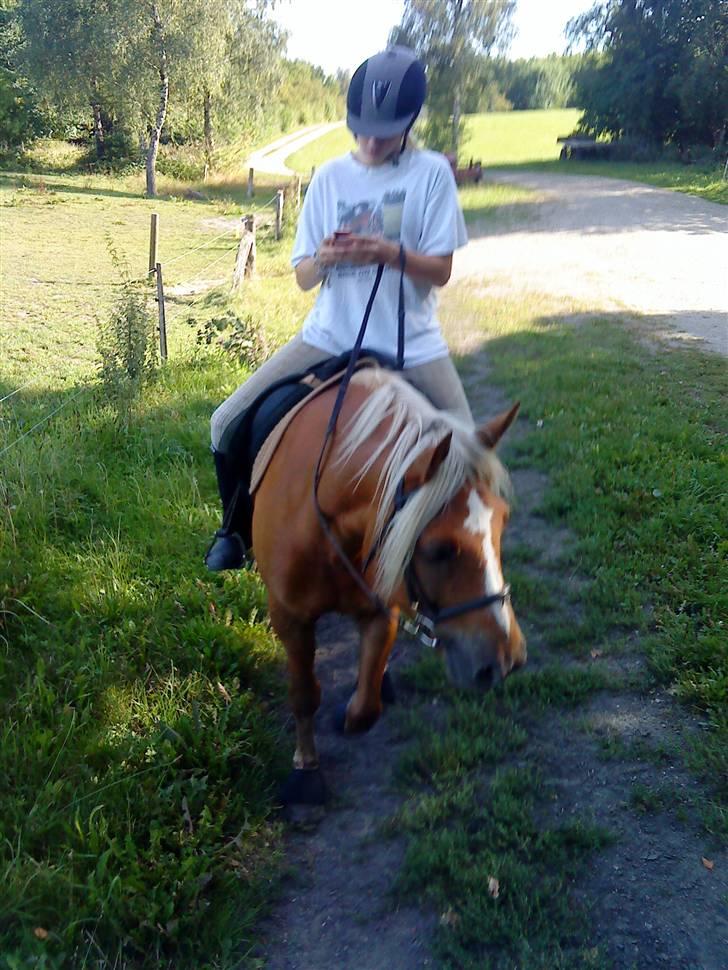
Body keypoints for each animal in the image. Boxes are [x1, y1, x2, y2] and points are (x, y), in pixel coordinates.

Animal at [253, 364, 528, 800]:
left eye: (503, 521)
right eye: (438, 549)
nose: (505, 661)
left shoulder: (382, 609)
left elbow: (365, 711)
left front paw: (351, 708)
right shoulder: (289, 617)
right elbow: (303, 694)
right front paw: (306, 771)